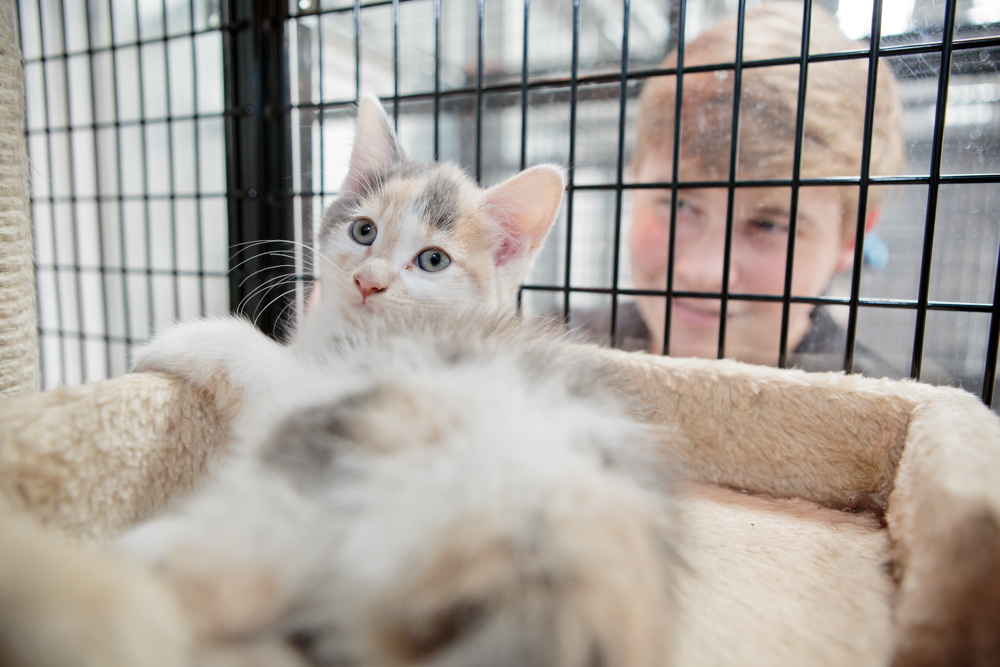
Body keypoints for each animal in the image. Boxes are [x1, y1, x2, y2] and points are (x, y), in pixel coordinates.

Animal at [119, 312, 680, 667]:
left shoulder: (305, 380)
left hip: (340, 436)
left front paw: (164, 345)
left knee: (239, 576)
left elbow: (253, 354)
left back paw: (138, 557)